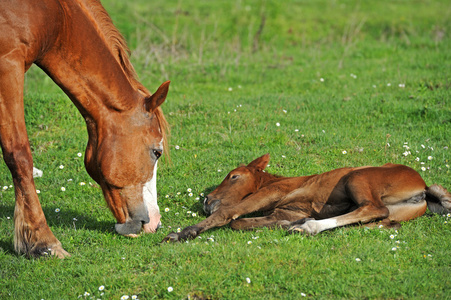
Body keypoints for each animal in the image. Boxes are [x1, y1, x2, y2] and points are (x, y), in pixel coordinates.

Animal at [0, 0, 170, 258]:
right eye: (156, 152)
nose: (155, 223)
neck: (56, 16)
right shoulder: (8, 65)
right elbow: (19, 155)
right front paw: (43, 242)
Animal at [162, 154, 451, 243]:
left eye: (233, 176)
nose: (206, 200)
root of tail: (423, 187)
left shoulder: (268, 194)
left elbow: (228, 215)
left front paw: (182, 233)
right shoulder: (286, 210)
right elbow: (240, 222)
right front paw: (287, 225)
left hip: (357, 177)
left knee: (373, 209)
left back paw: (309, 227)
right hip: (395, 213)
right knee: (385, 221)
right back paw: (305, 227)